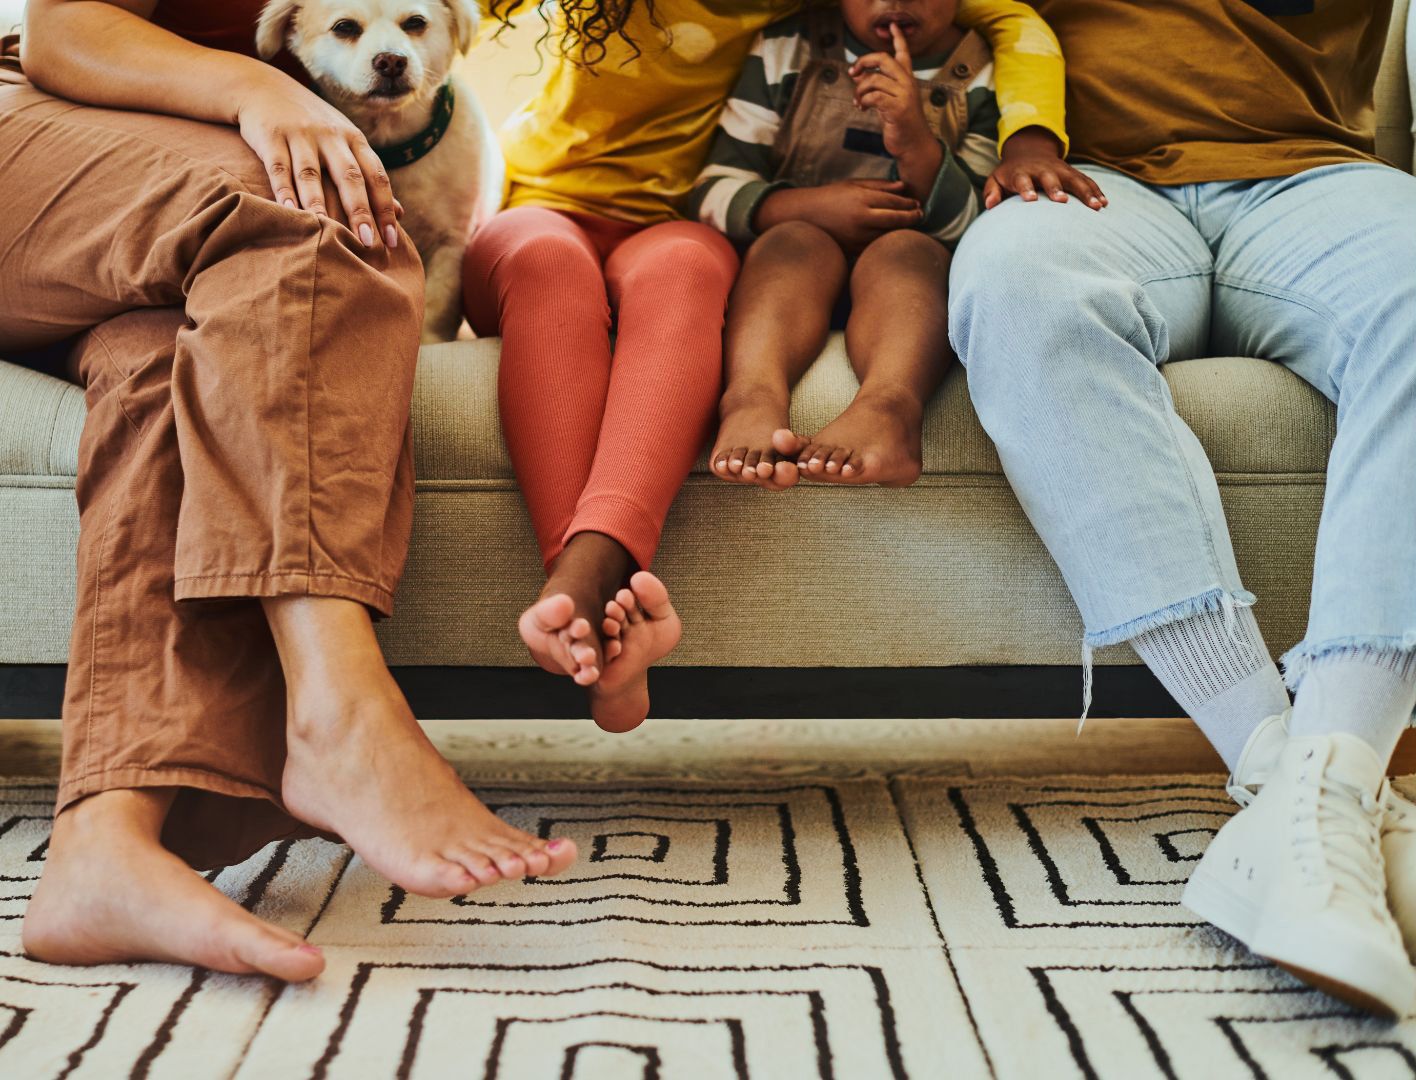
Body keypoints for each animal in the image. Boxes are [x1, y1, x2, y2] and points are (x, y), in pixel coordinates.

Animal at [260, 0, 504, 342]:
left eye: (415, 22)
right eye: (345, 27)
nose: (391, 61)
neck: (395, 150)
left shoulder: (452, 243)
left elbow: (438, 304)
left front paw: (429, 340)